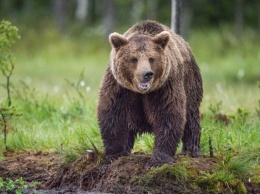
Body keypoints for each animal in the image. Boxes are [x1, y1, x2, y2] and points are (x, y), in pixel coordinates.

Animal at [97, 20, 203, 165]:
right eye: (134, 59)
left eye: (151, 59)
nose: (147, 74)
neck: (141, 92)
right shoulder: (119, 87)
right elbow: (113, 113)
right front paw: (115, 154)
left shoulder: (165, 86)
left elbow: (168, 114)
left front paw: (159, 159)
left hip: (190, 81)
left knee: (191, 115)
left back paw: (191, 150)